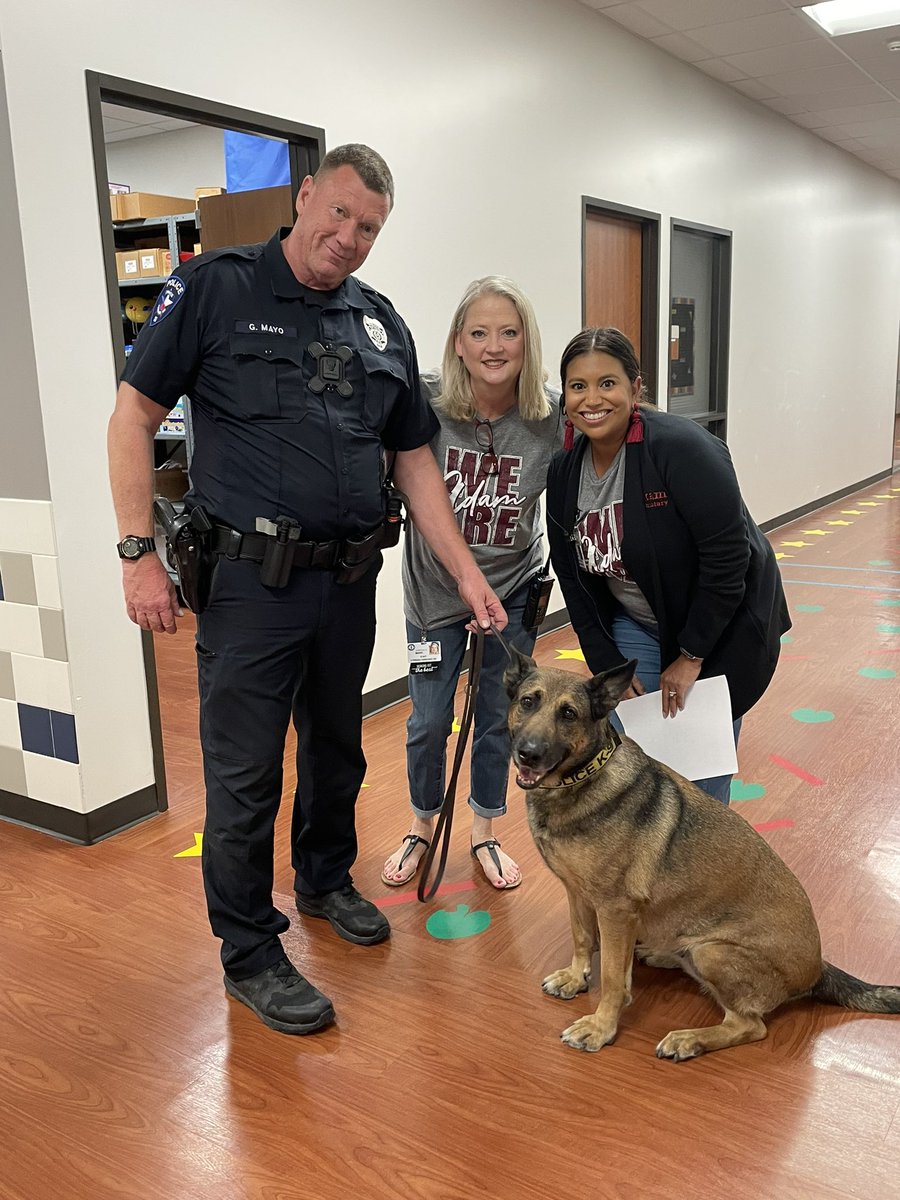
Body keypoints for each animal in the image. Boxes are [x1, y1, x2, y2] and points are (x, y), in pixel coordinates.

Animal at [504, 652, 897, 1056]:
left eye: (569, 714)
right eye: (528, 702)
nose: (527, 754)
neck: (581, 779)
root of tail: (818, 968)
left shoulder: (615, 910)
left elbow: (613, 978)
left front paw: (601, 1027)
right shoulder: (578, 893)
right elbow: (582, 938)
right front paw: (575, 977)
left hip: (713, 951)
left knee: (750, 1026)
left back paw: (689, 1039)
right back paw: (662, 954)